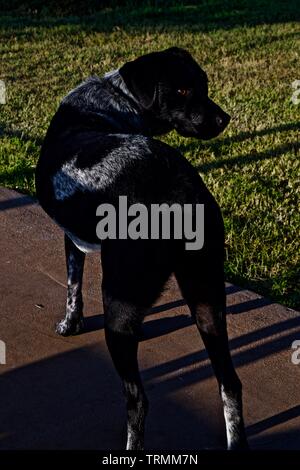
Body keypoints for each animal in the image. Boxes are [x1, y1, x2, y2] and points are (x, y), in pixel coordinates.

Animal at [35, 48, 247, 452]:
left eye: (202, 86)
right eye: (184, 89)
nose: (225, 119)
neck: (114, 101)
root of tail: (180, 193)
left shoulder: (73, 238)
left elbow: (73, 286)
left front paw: (69, 325)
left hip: (118, 305)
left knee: (138, 399)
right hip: (206, 295)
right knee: (230, 383)